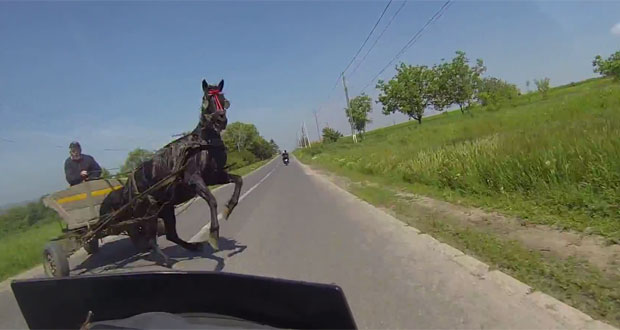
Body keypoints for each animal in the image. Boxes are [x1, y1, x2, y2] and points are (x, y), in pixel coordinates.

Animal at [100, 79, 242, 255]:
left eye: (224, 99)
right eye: (206, 99)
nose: (220, 120)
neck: (202, 144)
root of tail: (127, 188)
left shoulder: (214, 176)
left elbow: (238, 180)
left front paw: (229, 208)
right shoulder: (194, 179)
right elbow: (212, 200)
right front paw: (214, 234)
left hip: (165, 209)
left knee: (170, 235)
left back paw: (191, 247)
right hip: (148, 212)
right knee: (148, 236)